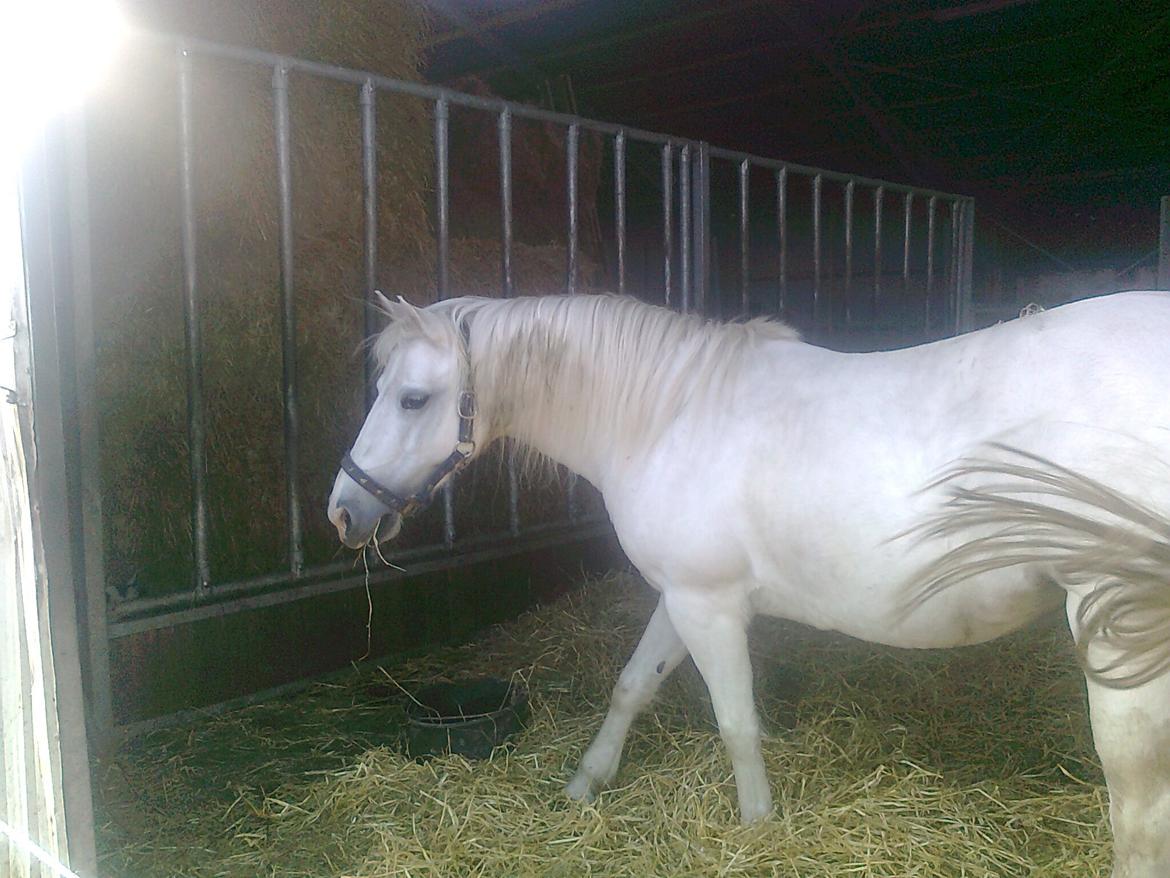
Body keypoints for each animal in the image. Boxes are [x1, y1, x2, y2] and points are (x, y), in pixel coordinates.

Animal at [328, 290, 1170, 877]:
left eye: (412, 398)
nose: (345, 510)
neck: (670, 417)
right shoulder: (682, 596)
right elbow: (631, 686)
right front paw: (585, 783)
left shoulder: (710, 607)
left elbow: (737, 722)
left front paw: (758, 826)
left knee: (1137, 803)